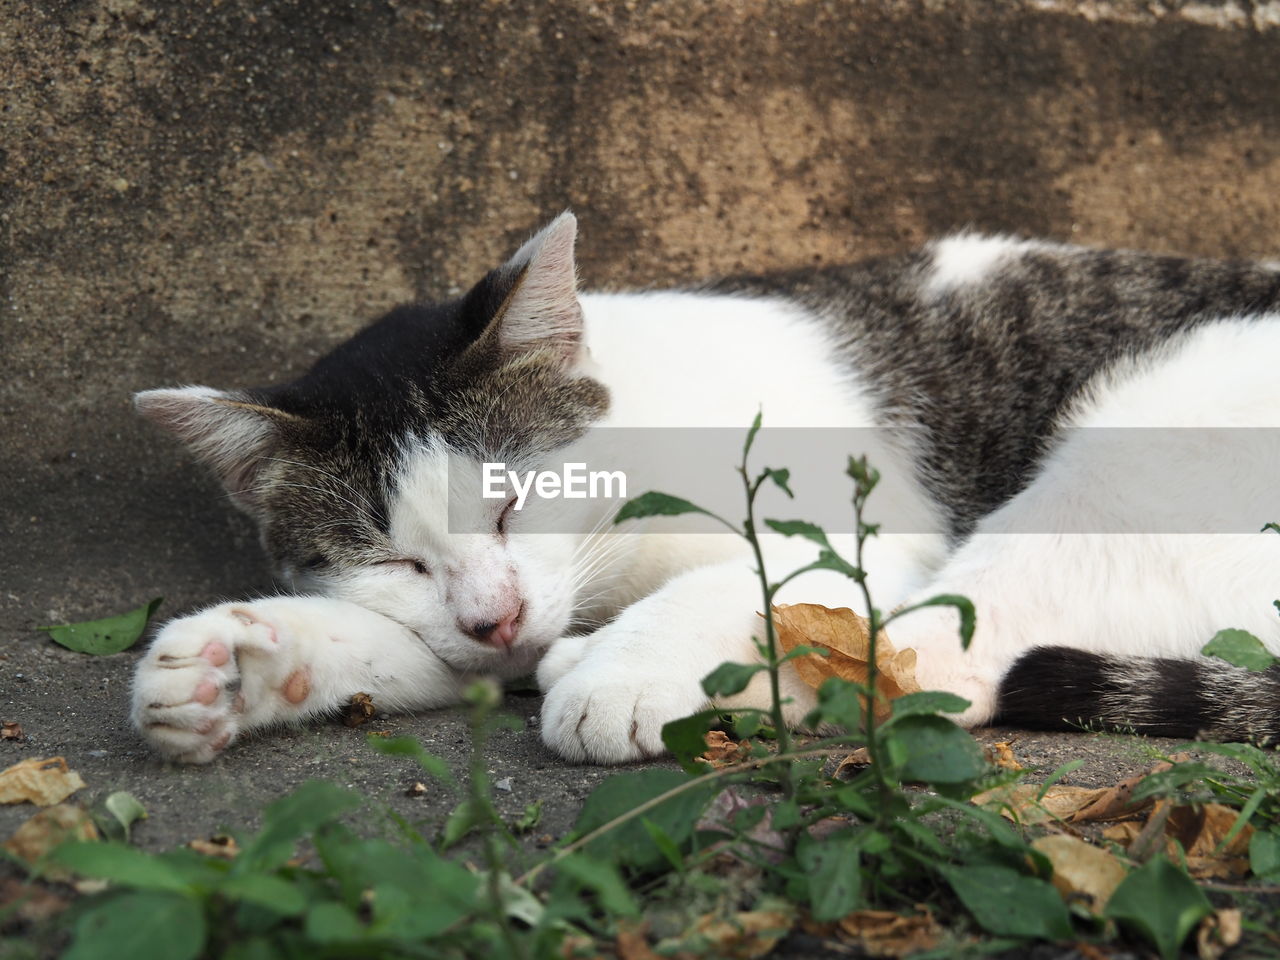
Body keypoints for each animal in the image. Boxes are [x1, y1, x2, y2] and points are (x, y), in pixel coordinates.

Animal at [132, 213, 1280, 762]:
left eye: (510, 500)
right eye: (393, 559)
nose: (495, 617)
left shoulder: (864, 527)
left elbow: (756, 582)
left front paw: (633, 667)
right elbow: (415, 651)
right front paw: (246, 663)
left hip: (1130, 457)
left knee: (932, 659)